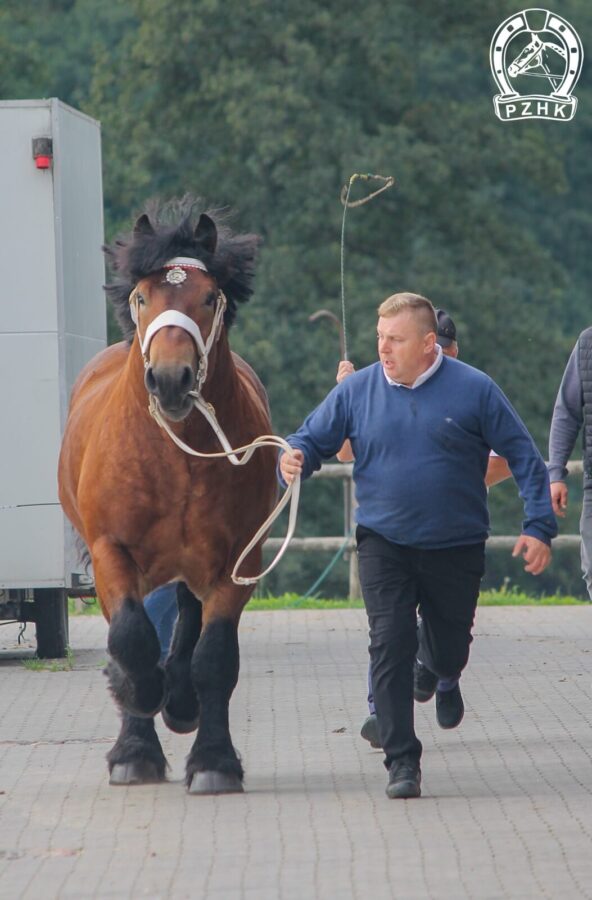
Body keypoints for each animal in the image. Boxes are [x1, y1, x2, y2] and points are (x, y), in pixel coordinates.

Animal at [57, 199, 278, 796]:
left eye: (208, 297)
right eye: (141, 297)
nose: (171, 379)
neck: (176, 453)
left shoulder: (237, 560)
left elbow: (214, 657)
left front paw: (214, 761)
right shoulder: (111, 551)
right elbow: (132, 639)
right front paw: (136, 726)